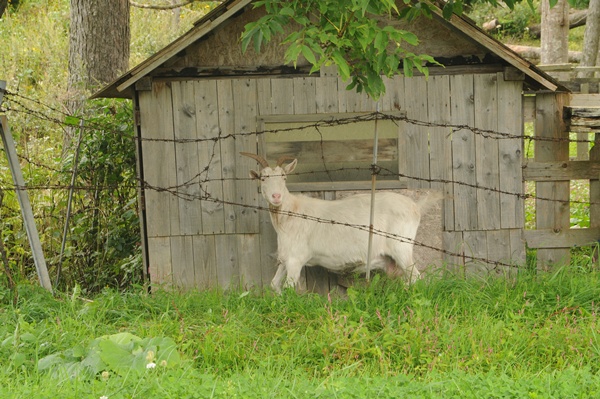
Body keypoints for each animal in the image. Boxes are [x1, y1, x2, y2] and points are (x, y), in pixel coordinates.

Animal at [240, 152, 440, 292]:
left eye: (284, 177)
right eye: (262, 177)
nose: (276, 196)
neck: (289, 213)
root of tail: (416, 206)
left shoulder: (296, 258)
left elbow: (289, 288)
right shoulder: (286, 257)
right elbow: (274, 284)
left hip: (401, 248)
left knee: (416, 279)